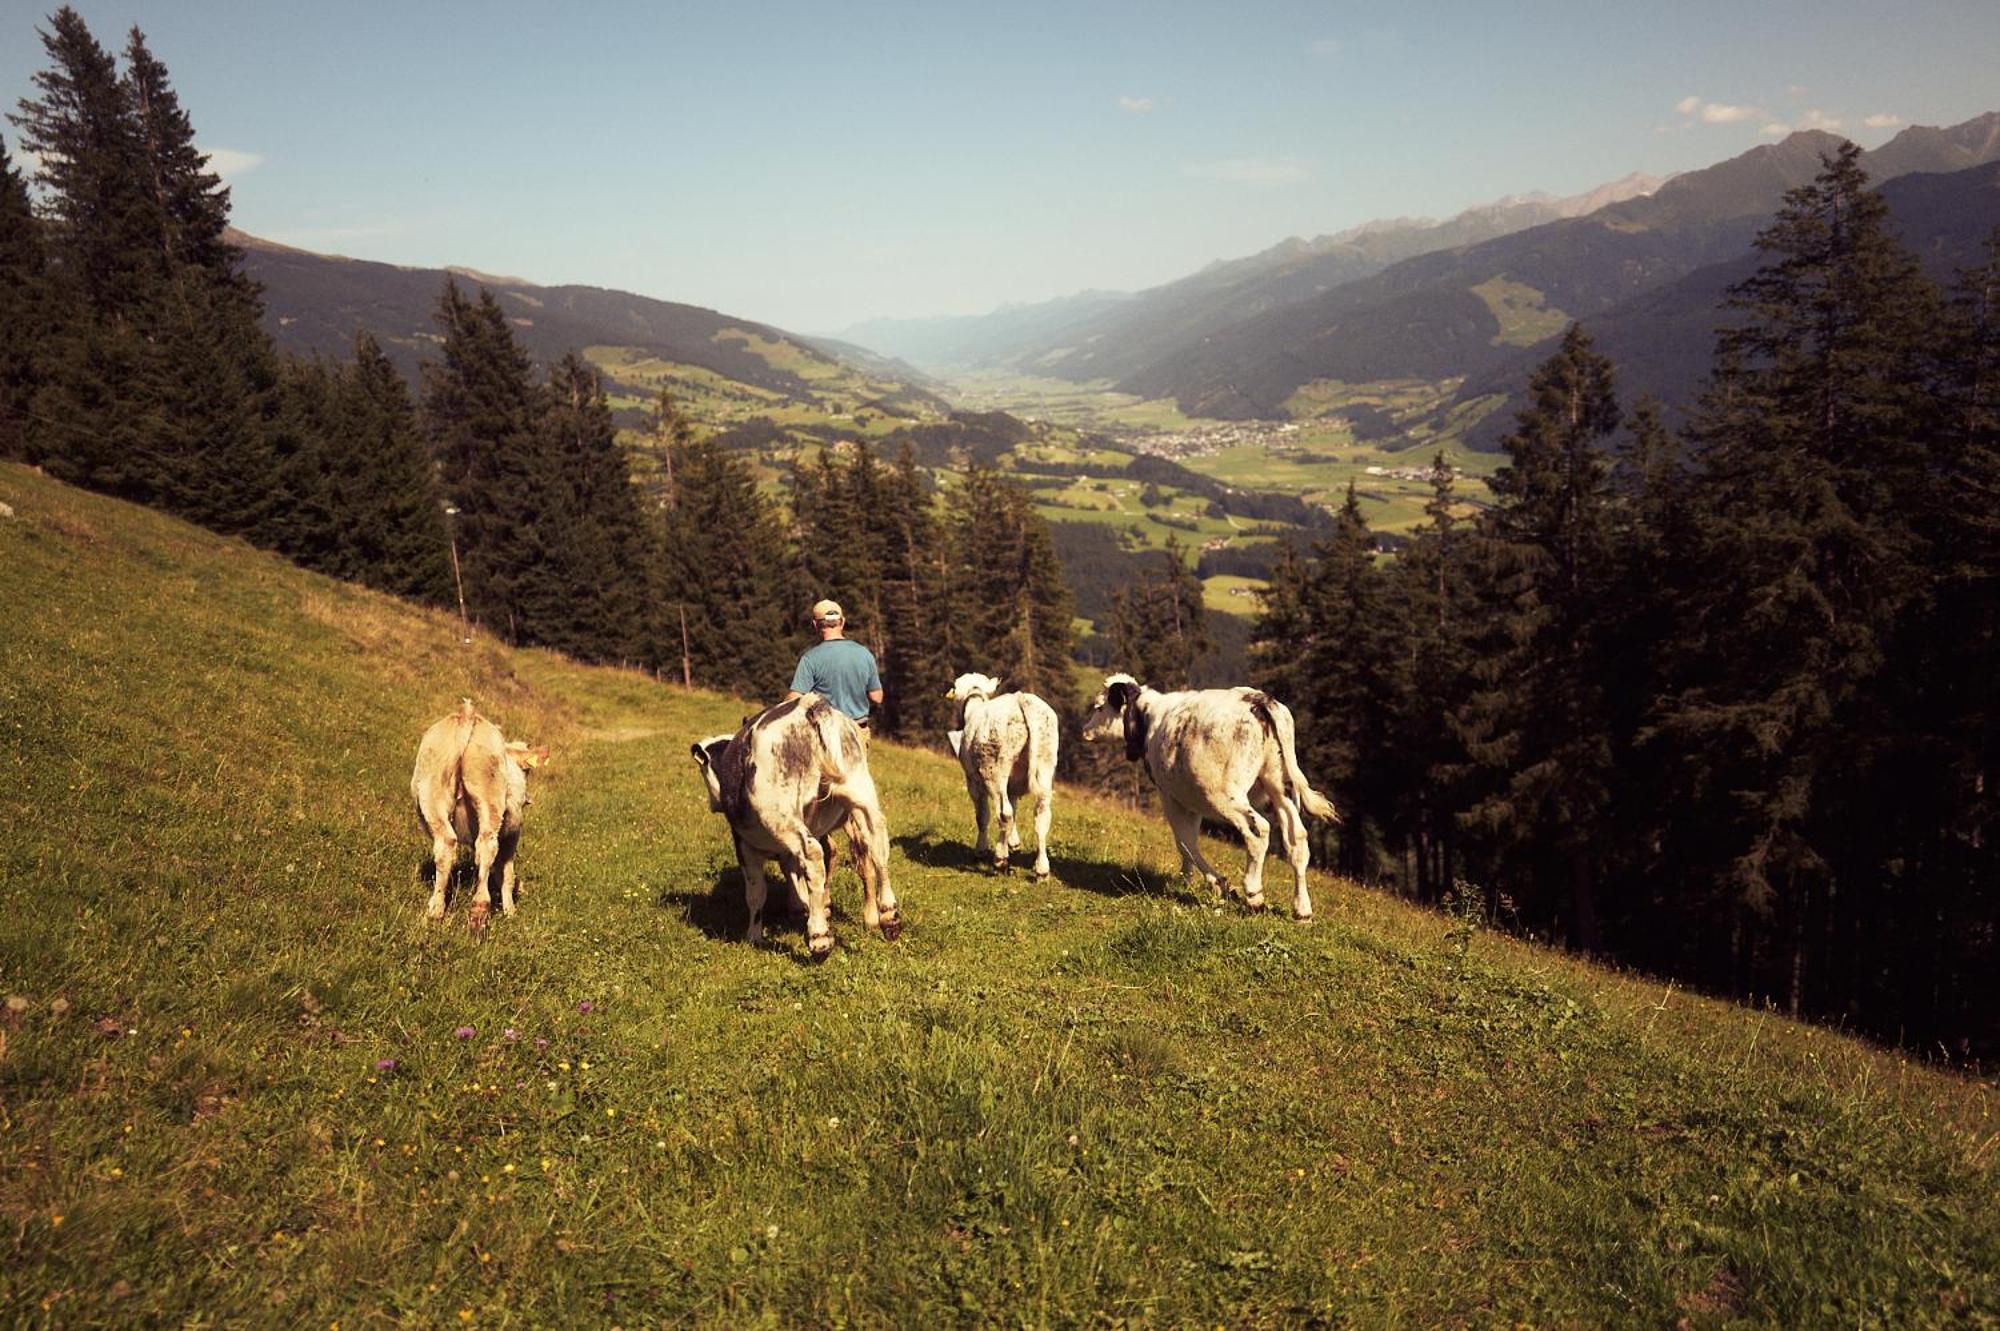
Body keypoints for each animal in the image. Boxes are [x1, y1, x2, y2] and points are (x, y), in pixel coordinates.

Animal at [410, 699, 548, 919]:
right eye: (528, 772)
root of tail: (467, 714)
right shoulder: (512, 833)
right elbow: (506, 873)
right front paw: (510, 911)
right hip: (489, 801)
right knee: (486, 846)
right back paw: (480, 905)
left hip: (432, 795)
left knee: (446, 845)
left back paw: (436, 909)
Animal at [692, 695, 904, 955]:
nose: (713, 803)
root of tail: (808, 705)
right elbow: (794, 877)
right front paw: (801, 907)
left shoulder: (744, 845)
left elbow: (756, 892)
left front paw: (754, 936)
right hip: (860, 795)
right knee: (876, 842)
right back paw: (888, 916)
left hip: (782, 817)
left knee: (813, 854)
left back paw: (819, 936)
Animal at [948, 667, 1064, 875]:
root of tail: (1021, 699)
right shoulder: (1013, 786)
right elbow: (1015, 809)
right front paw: (1014, 843)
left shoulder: (973, 781)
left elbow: (982, 815)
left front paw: (981, 849)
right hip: (1045, 762)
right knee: (1041, 816)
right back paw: (1041, 869)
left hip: (994, 769)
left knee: (1003, 813)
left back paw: (1000, 859)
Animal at [1088, 667, 1336, 919]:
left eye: (1099, 706)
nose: (1085, 730)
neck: (1149, 718)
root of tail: (1258, 700)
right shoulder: (1190, 798)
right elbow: (1188, 841)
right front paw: (1185, 879)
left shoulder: (1169, 795)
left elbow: (1185, 841)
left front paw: (1217, 883)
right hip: (1278, 784)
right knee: (1297, 838)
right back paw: (1302, 909)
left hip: (1223, 794)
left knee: (1258, 830)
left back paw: (1254, 895)